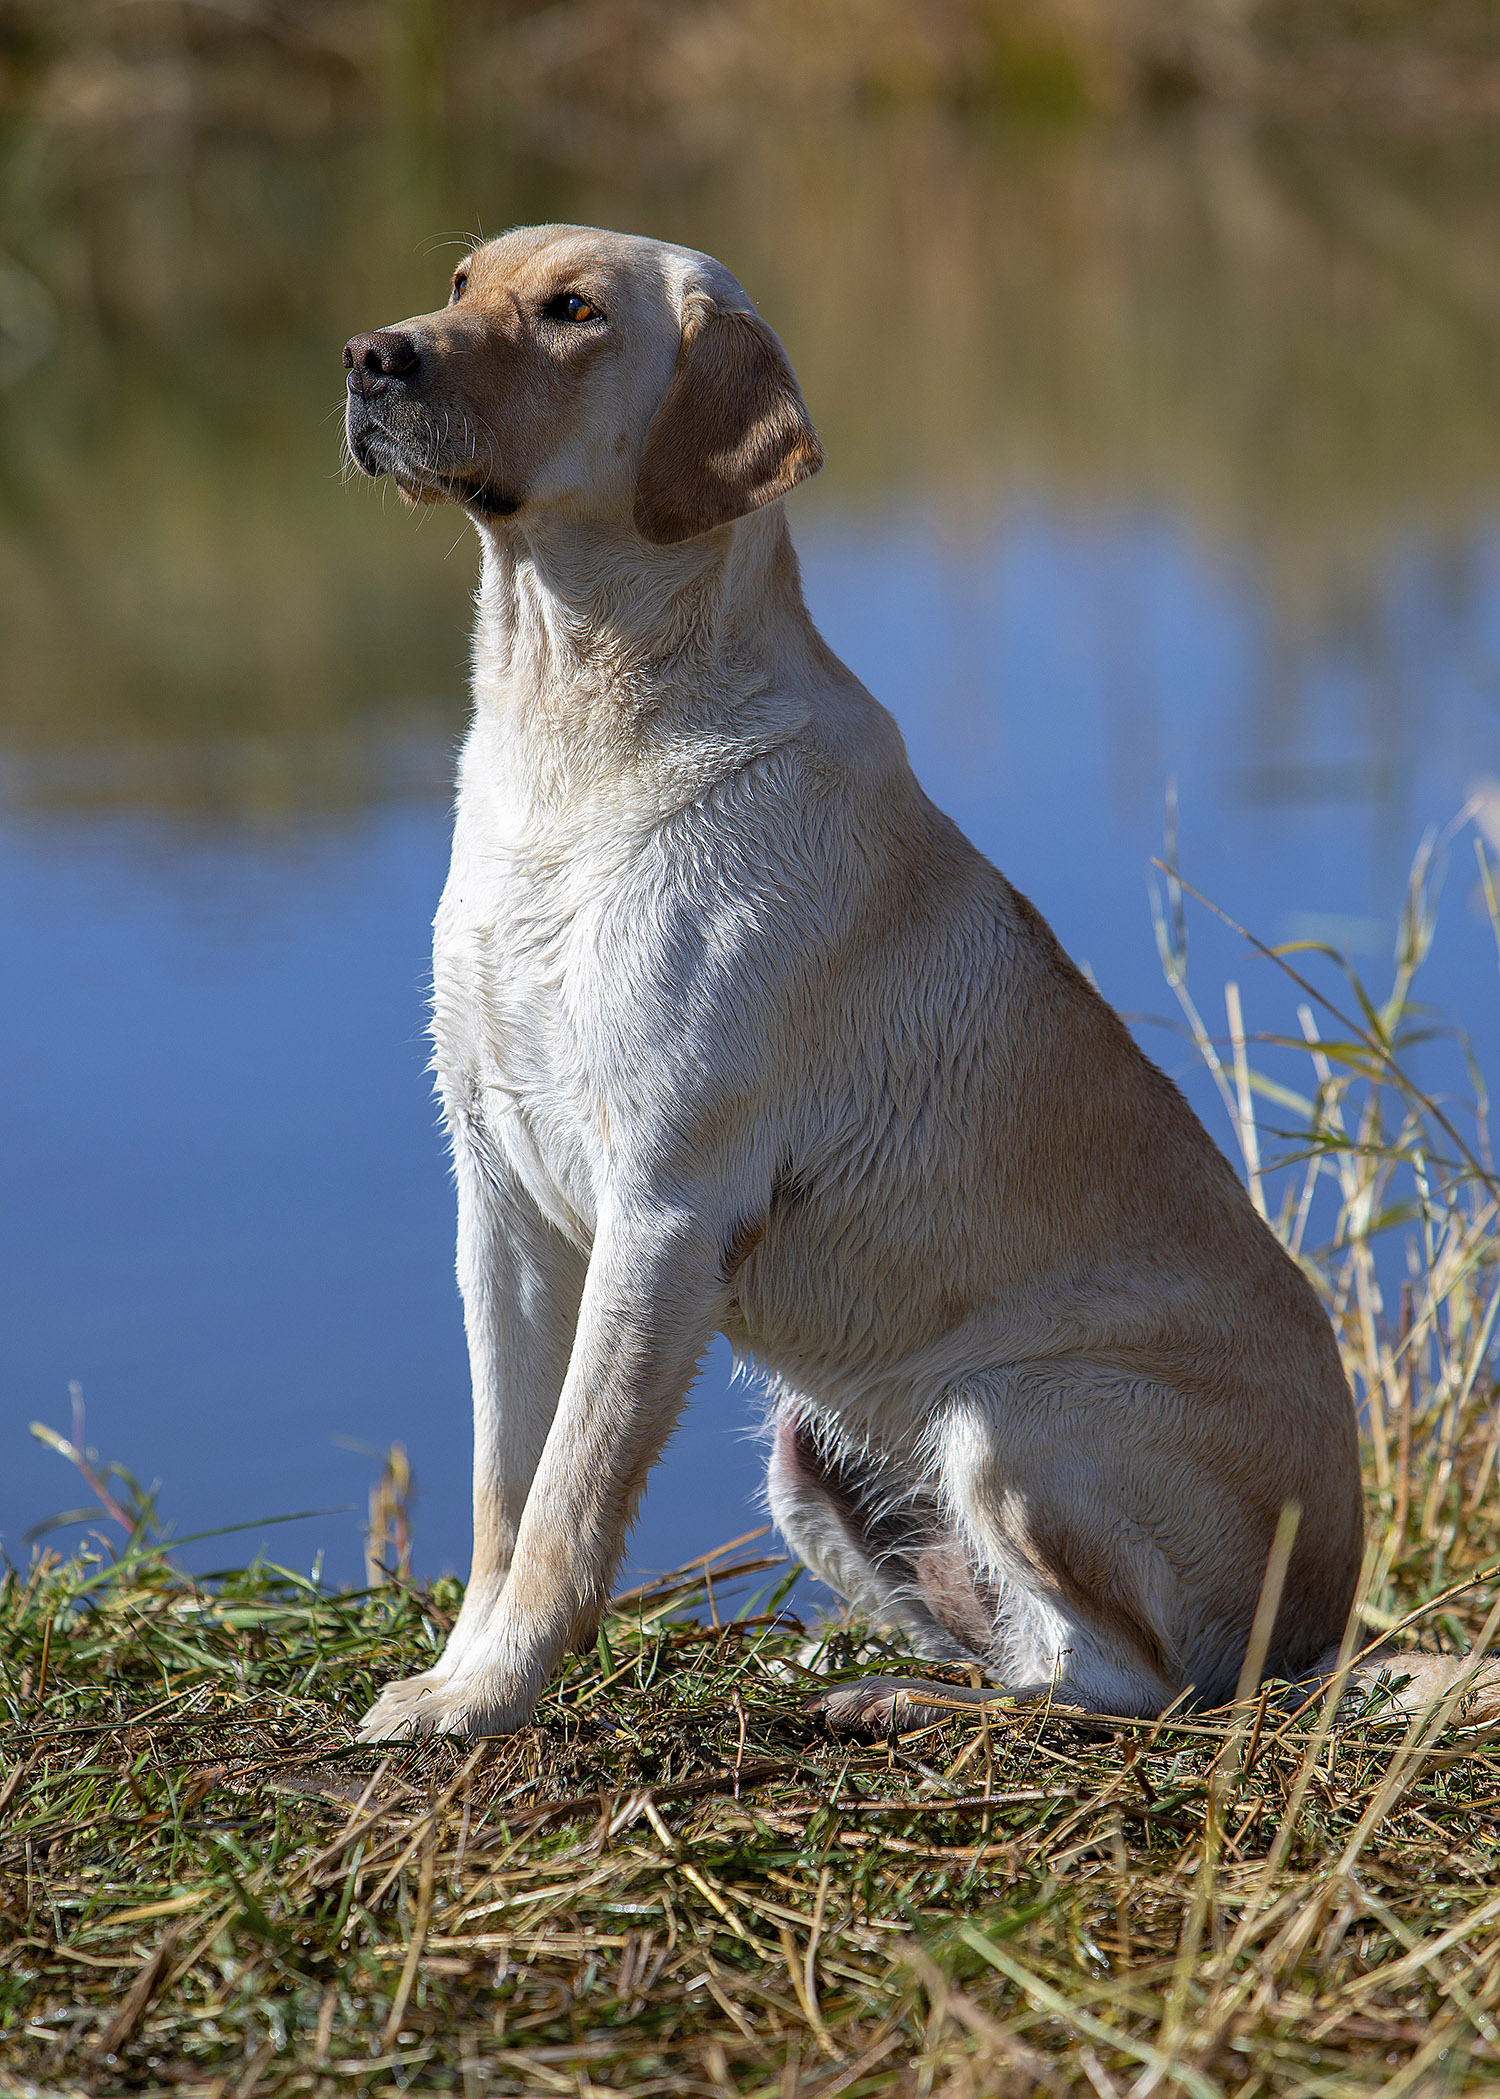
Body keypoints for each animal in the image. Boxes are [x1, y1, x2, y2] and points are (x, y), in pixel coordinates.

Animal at [344, 221, 1376, 1746]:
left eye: (574, 311)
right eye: (464, 281)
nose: (371, 356)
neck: (572, 731)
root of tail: (1322, 1637)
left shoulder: (662, 1209)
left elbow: (569, 1497)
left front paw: (492, 1691)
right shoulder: (501, 1198)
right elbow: (498, 1491)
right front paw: (458, 1672)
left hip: (1011, 1413)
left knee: (1129, 1687)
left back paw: (899, 1697)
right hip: (811, 1448)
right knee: (1032, 1653)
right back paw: (863, 1675)